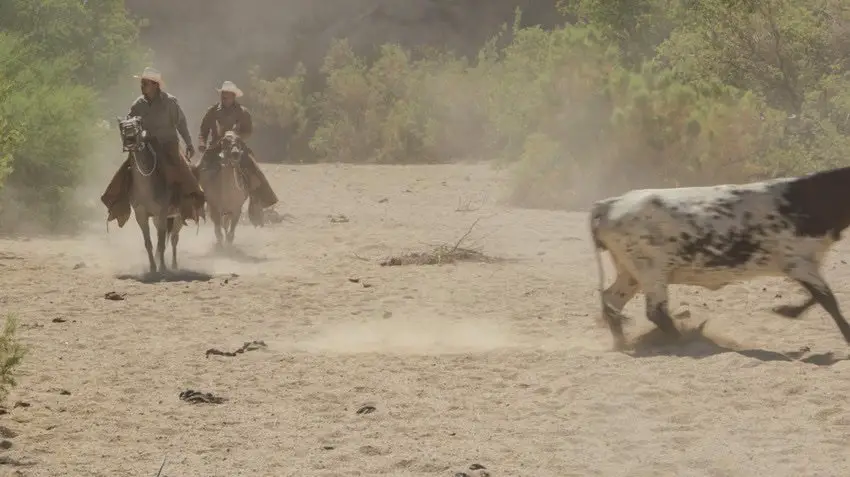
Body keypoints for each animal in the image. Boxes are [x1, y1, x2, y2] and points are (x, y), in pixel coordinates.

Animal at [116, 115, 184, 274]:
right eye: (121, 125)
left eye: (138, 123)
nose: (129, 135)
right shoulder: (141, 213)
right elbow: (149, 243)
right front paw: (153, 268)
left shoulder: (163, 212)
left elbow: (162, 242)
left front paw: (163, 268)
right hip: (156, 219)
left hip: (178, 216)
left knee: (174, 238)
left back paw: (174, 265)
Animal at [199, 120, 248, 249]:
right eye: (224, 141)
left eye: (239, 139)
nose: (235, 154)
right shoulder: (214, 210)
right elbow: (218, 231)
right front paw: (220, 246)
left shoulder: (236, 211)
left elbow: (230, 233)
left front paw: (228, 246)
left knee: (226, 224)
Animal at [588, 167, 850, 350]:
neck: (803, 200)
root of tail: (610, 204)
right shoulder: (799, 264)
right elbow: (829, 302)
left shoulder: (807, 265)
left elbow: (819, 299)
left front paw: (786, 310)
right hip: (652, 273)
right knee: (655, 312)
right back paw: (685, 341)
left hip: (631, 274)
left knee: (612, 301)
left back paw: (623, 343)